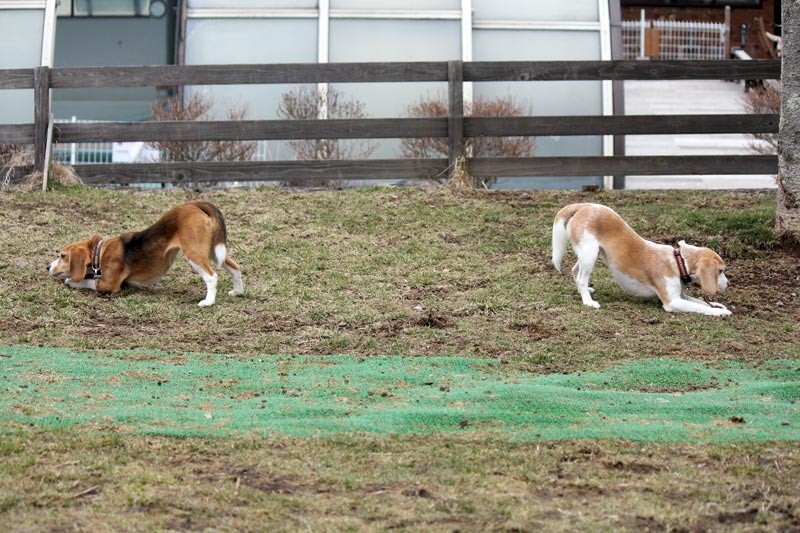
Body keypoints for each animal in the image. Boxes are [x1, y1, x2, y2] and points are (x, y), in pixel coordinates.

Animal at [48, 201, 242, 308]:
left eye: (62, 256)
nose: (48, 266)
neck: (99, 252)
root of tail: (196, 204)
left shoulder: (108, 284)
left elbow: (88, 281)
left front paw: (72, 281)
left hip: (194, 252)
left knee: (211, 276)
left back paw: (208, 302)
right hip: (212, 250)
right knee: (235, 267)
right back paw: (238, 292)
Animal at [552, 202, 732, 314]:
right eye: (720, 271)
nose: (729, 284)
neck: (678, 262)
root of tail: (583, 206)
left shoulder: (680, 296)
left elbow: (701, 302)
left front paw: (719, 306)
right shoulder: (672, 302)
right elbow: (701, 307)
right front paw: (720, 312)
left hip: (588, 254)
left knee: (575, 271)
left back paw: (585, 292)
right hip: (590, 254)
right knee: (581, 278)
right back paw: (588, 301)